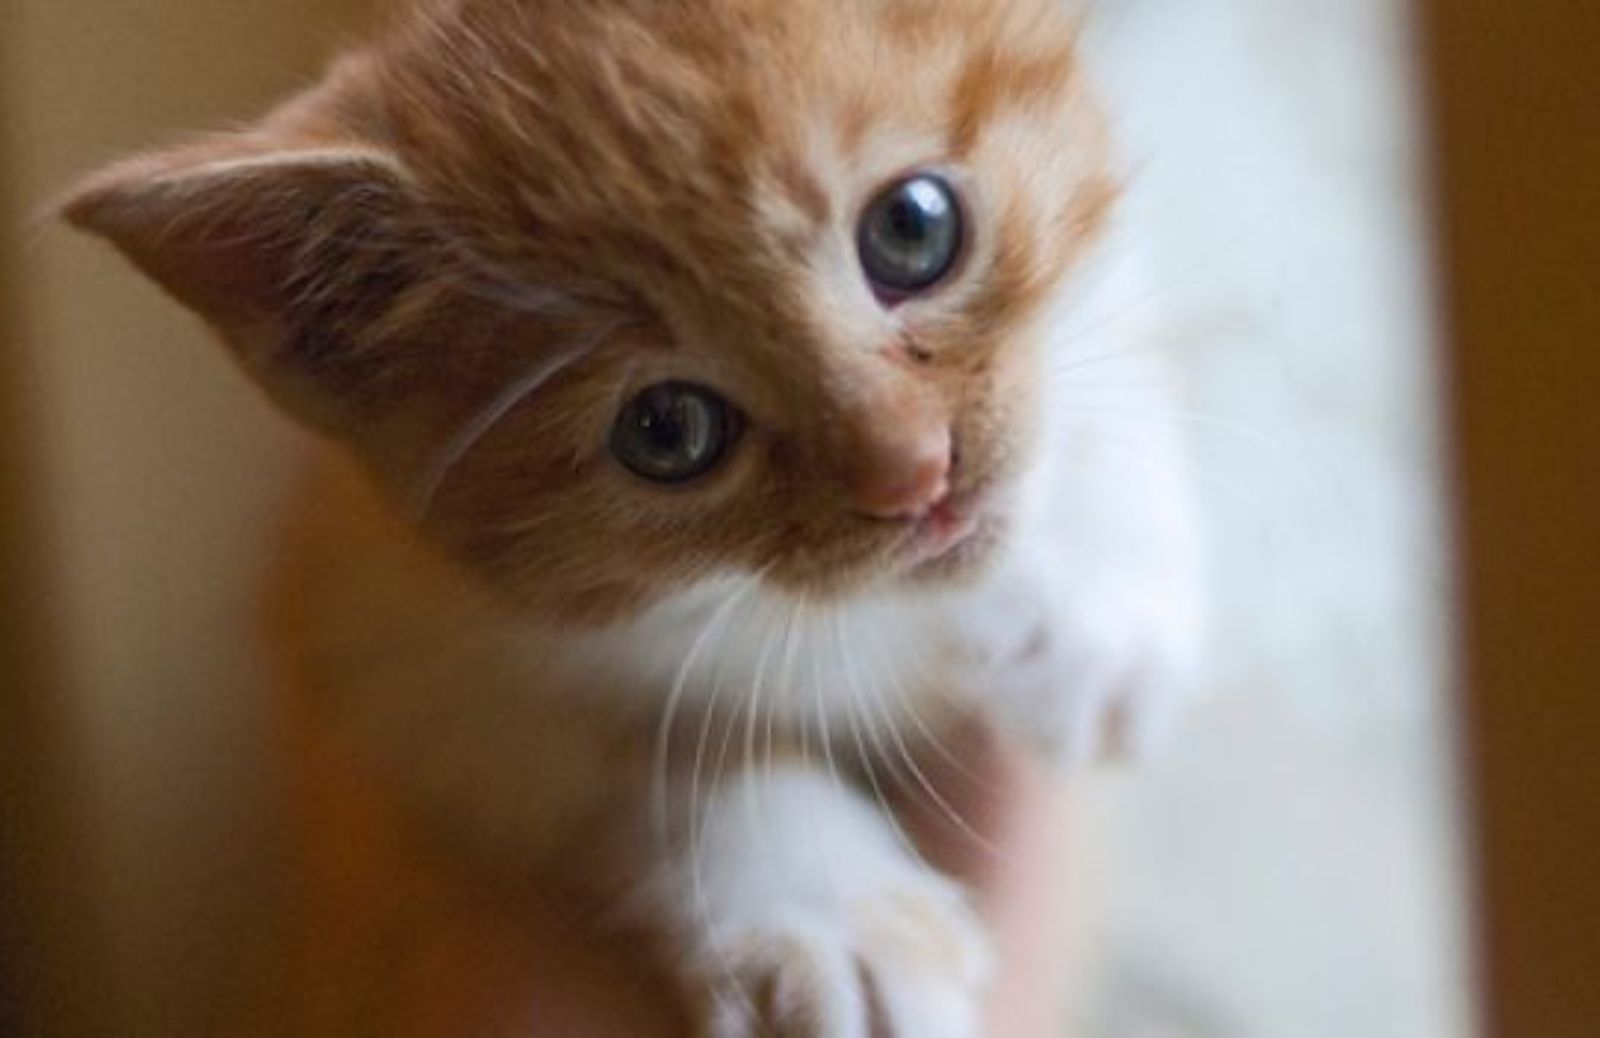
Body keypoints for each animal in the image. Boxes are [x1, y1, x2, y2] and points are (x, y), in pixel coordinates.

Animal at [68, 4, 1203, 1030]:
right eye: (667, 430)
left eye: (913, 227)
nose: (917, 476)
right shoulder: (373, 630)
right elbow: (611, 750)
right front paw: (821, 908)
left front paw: (1096, 597)